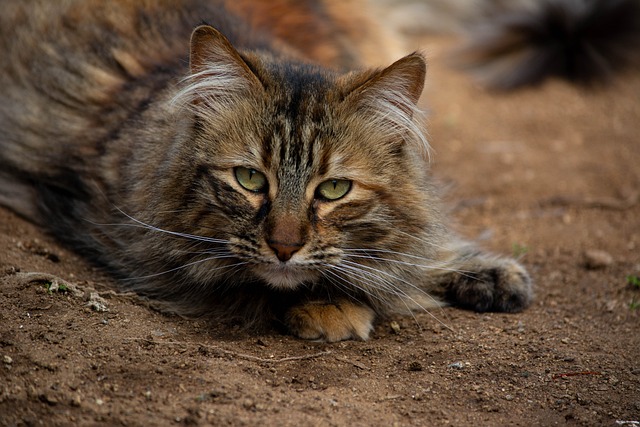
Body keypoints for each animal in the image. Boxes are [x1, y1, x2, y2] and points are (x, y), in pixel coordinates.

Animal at [0, 0, 532, 342]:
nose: (284, 247)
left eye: (334, 189)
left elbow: (411, 246)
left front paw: (480, 270)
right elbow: (256, 284)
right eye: (250, 179)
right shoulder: (133, 244)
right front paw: (336, 308)